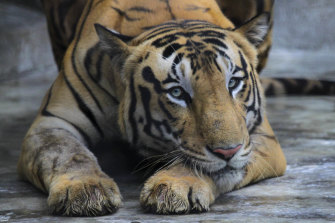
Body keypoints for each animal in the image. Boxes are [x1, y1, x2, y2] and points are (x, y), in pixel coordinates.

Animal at [18, 0, 292, 216]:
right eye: (177, 93)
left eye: (233, 83)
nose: (228, 152)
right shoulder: (52, 122)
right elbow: (66, 153)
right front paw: (85, 190)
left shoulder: (260, 134)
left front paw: (174, 187)